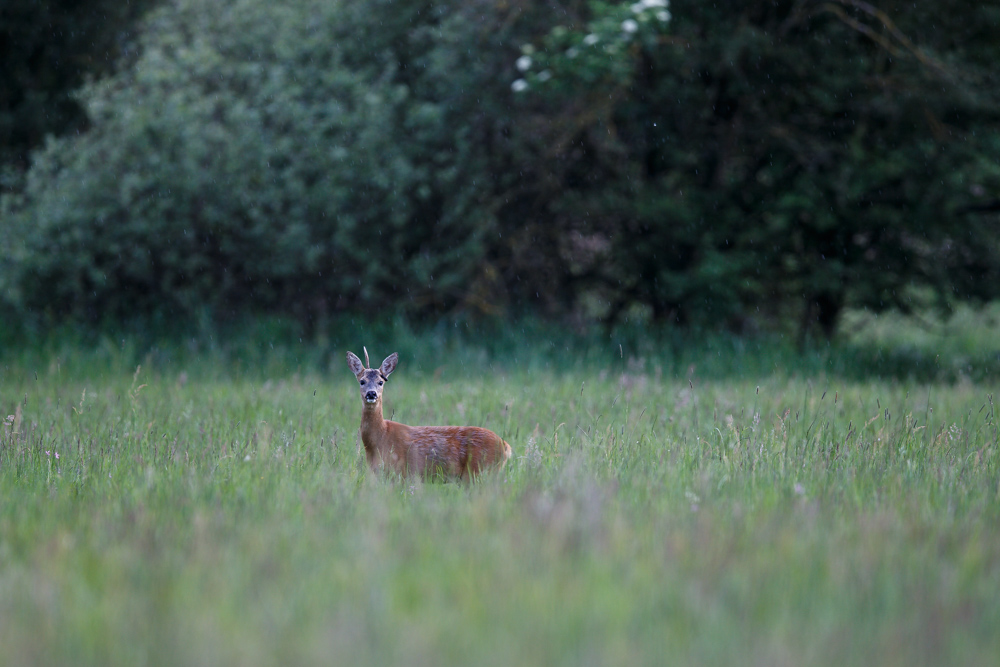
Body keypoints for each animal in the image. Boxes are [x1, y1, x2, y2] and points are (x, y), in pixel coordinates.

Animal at [346, 350, 516, 480]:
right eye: (362, 381)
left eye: (381, 382)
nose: (371, 393)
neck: (379, 438)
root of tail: (506, 447)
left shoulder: (400, 471)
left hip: (479, 472)